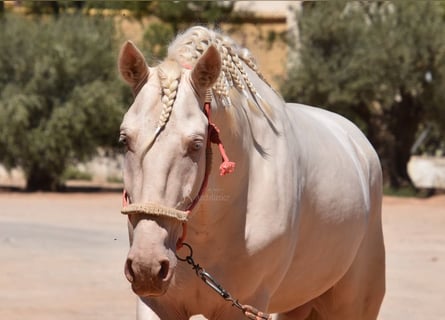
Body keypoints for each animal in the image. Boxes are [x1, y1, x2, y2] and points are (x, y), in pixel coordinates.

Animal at [118, 26, 386, 320]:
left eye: (196, 144)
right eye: (124, 140)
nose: (147, 267)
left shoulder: (243, 305)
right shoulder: (158, 305)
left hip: (354, 303)